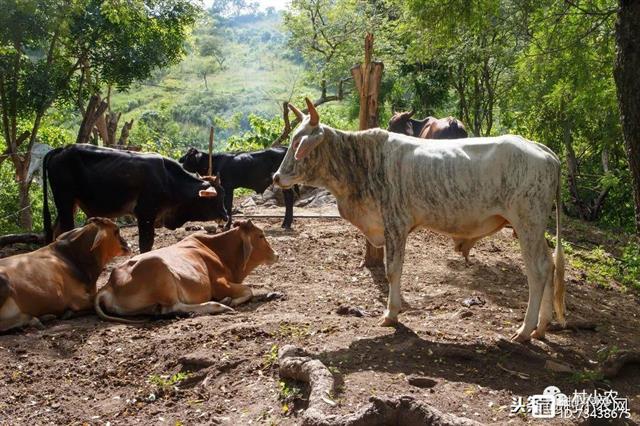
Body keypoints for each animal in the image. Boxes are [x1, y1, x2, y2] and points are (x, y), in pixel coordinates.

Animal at [0, 216, 131, 332]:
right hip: (5, 282)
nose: (128, 245)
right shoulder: (76, 299)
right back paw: (33, 320)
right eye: (116, 230)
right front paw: (68, 313)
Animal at [43, 145, 228, 251]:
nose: (226, 217)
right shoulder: (145, 215)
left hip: (70, 204)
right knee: (65, 231)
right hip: (65, 201)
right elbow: (146, 244)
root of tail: (61, 149)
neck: (169, 180)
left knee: (56, 231)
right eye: (216, 198)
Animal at [94, 220, 278, 322]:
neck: (218, 250)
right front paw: (231, 301)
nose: (276, 254)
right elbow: (248, 290)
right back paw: (219, 305)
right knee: (173, 308)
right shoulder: (220, 284)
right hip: (159, 268)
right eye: (261, 235)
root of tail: (109, 284)